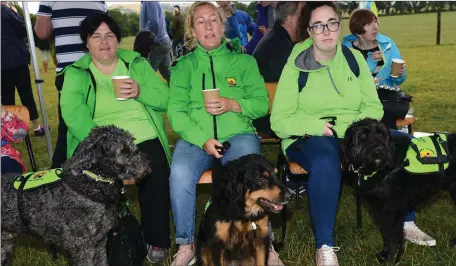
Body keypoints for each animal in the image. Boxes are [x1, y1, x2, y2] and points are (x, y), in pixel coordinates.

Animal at [342, 118, 456, 262]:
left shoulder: (393, 211)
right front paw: (385, 255)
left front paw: (392, 259)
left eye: (381, 134)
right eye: (363, 135)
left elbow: (393, 238)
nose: (380, 150)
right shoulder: (380, 210)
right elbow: (386, 235)